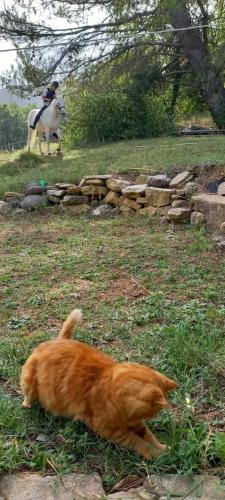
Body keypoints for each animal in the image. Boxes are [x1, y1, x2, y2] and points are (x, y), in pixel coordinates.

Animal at [20, 308, 177, 458]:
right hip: (29, 381)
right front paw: (153, 454)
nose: (154, 416)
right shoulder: (112, 430)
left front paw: (164, 449)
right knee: (28, 395)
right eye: (154, 412)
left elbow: (149, 436)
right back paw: (27, 405)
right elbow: (139, 442)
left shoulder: (136, 423)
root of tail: (57, 341)